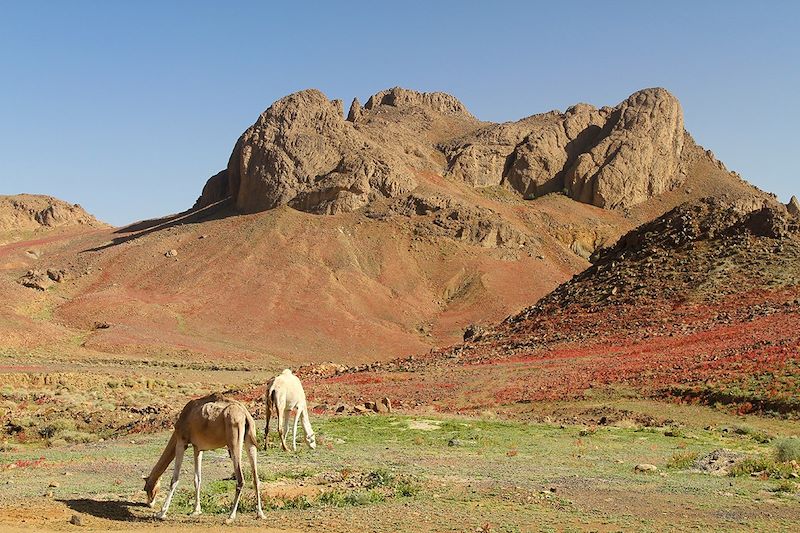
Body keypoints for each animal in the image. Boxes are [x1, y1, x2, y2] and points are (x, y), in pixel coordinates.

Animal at [143, 392, 266, 520]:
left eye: (146, 488)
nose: (149, 504)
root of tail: (246, 415)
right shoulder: (197, 447)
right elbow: (197, 479)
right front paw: (196, 510)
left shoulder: (182, 441)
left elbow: (174, 479)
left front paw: (161, 513)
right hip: (250, 440)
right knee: (256, 478)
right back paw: (260, 513)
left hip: (234, 439)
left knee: (241, 479)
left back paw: (231, 516)